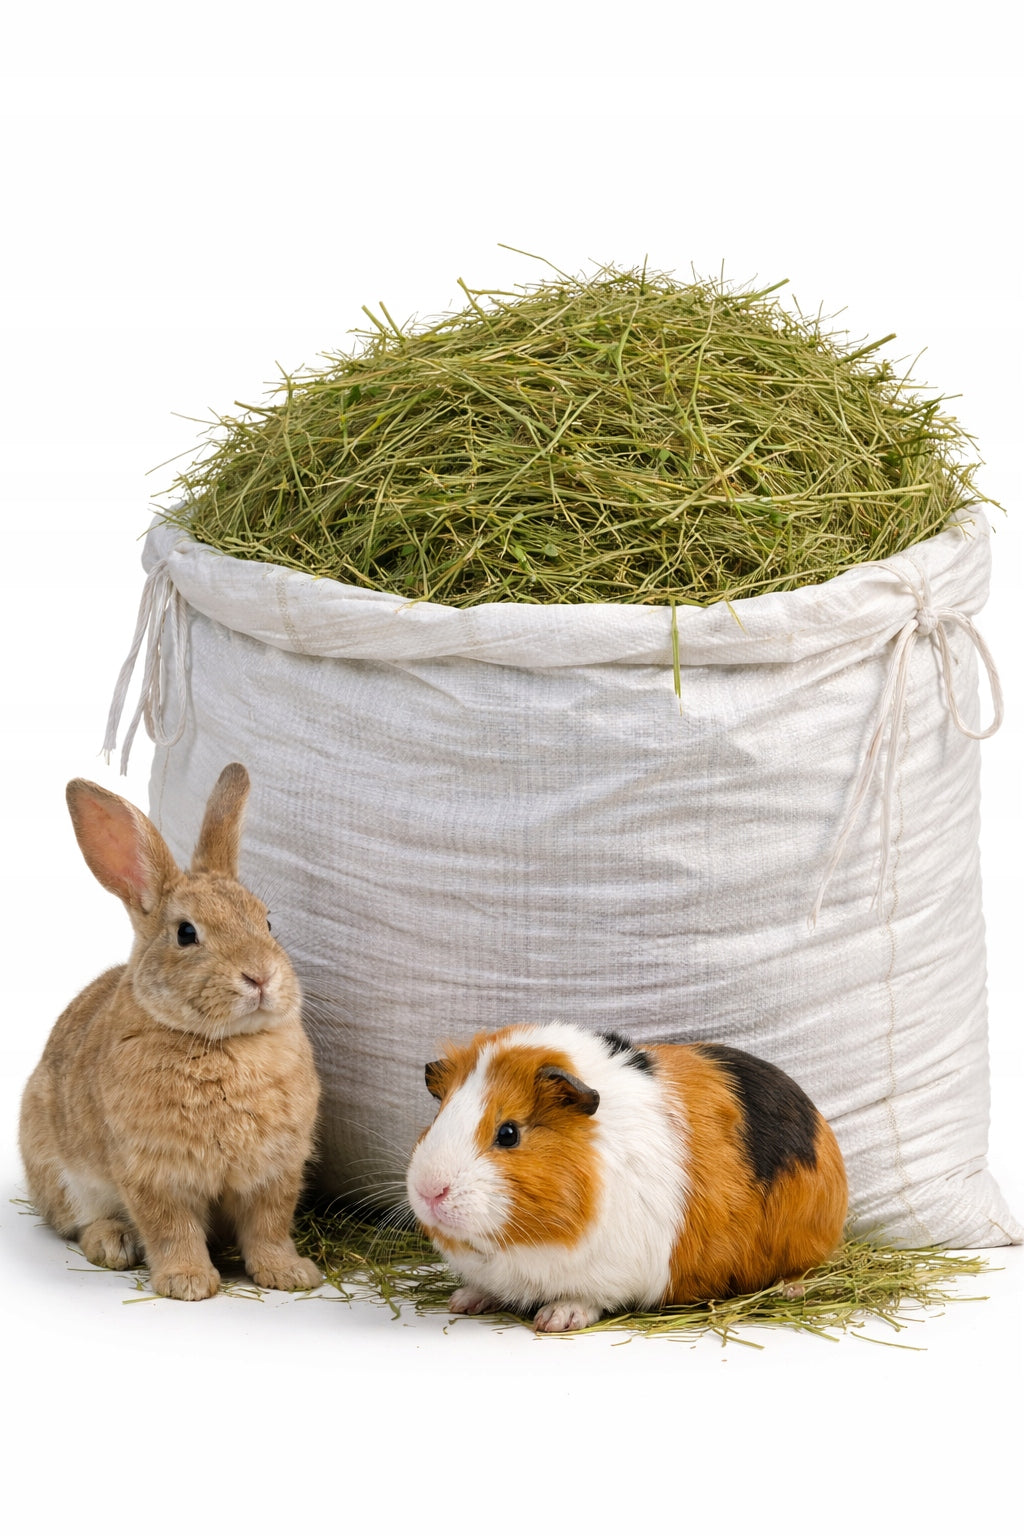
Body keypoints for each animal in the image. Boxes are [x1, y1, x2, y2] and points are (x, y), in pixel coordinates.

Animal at [19, 763, 321, 1301]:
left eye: (267, 922)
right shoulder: (155, 1174)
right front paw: (189, 1283)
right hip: (60, 1171)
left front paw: (290, 1275)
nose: (261, 977)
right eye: (186, 933)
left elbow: (268, 1228)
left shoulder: (273, 1174)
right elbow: (170, 1229)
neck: (222, 1043)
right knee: (78, 1222)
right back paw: (113, 1244)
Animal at [406, 1021, 847, 1332]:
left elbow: (587, 1297)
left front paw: (555, 1319)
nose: (430, 1190)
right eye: (438, 1115)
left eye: (509, 1133)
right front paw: (463, 1300)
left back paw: (791, 1289)